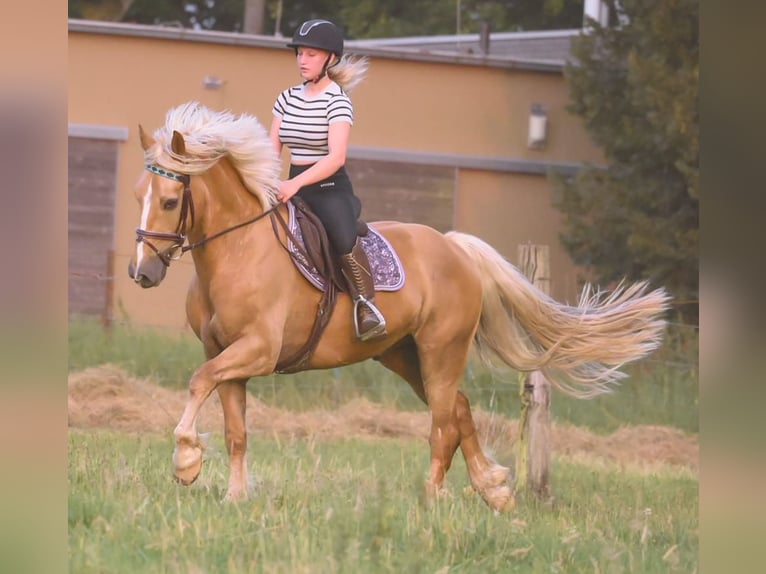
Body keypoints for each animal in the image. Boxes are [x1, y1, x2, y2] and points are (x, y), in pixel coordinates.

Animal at [129, 102, 668, 512]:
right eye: (139, 196)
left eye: (172, 201)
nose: (142, 273)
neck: (238, 252)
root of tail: (454, 246)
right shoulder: (227, 357)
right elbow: (235, 429)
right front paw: (235, 497)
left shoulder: (258, 351)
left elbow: (197, 383)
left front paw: (186, 462)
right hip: (404, 354)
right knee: (460, 410)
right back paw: (492, 489)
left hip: (441, 350)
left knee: (443, 423)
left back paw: (433, 497)